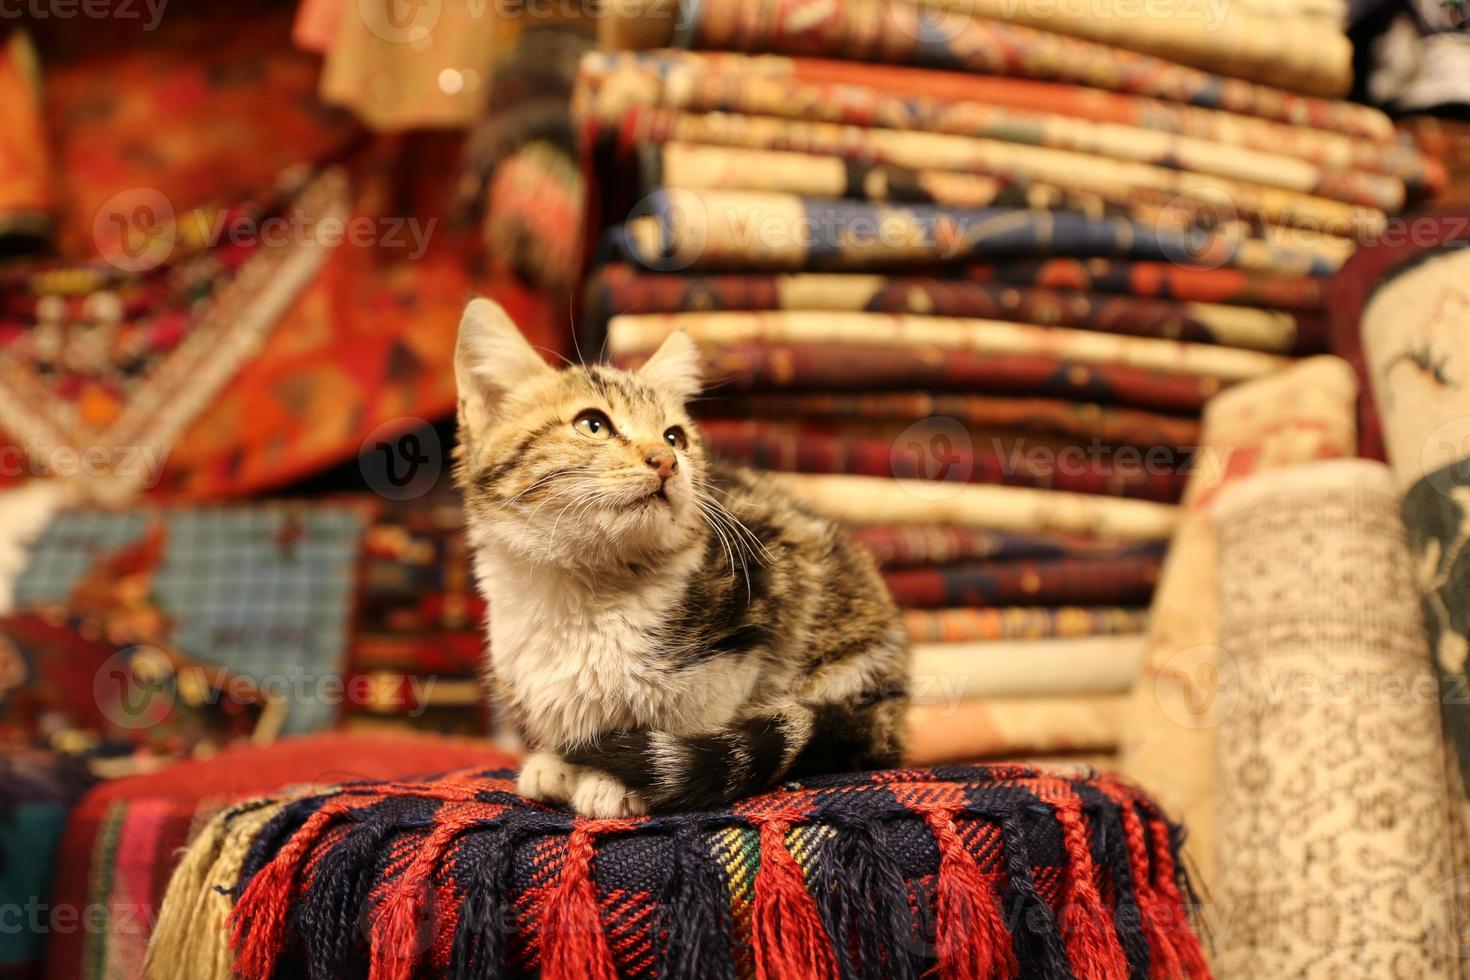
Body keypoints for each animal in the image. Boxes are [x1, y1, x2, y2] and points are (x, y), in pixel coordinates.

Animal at [452, 299, 911, 822]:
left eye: (675, 437)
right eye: (592, 424)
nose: (665, 460)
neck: (588, 590)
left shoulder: (755, 608)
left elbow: (699, 715)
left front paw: (616, 780)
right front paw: (558, 763)